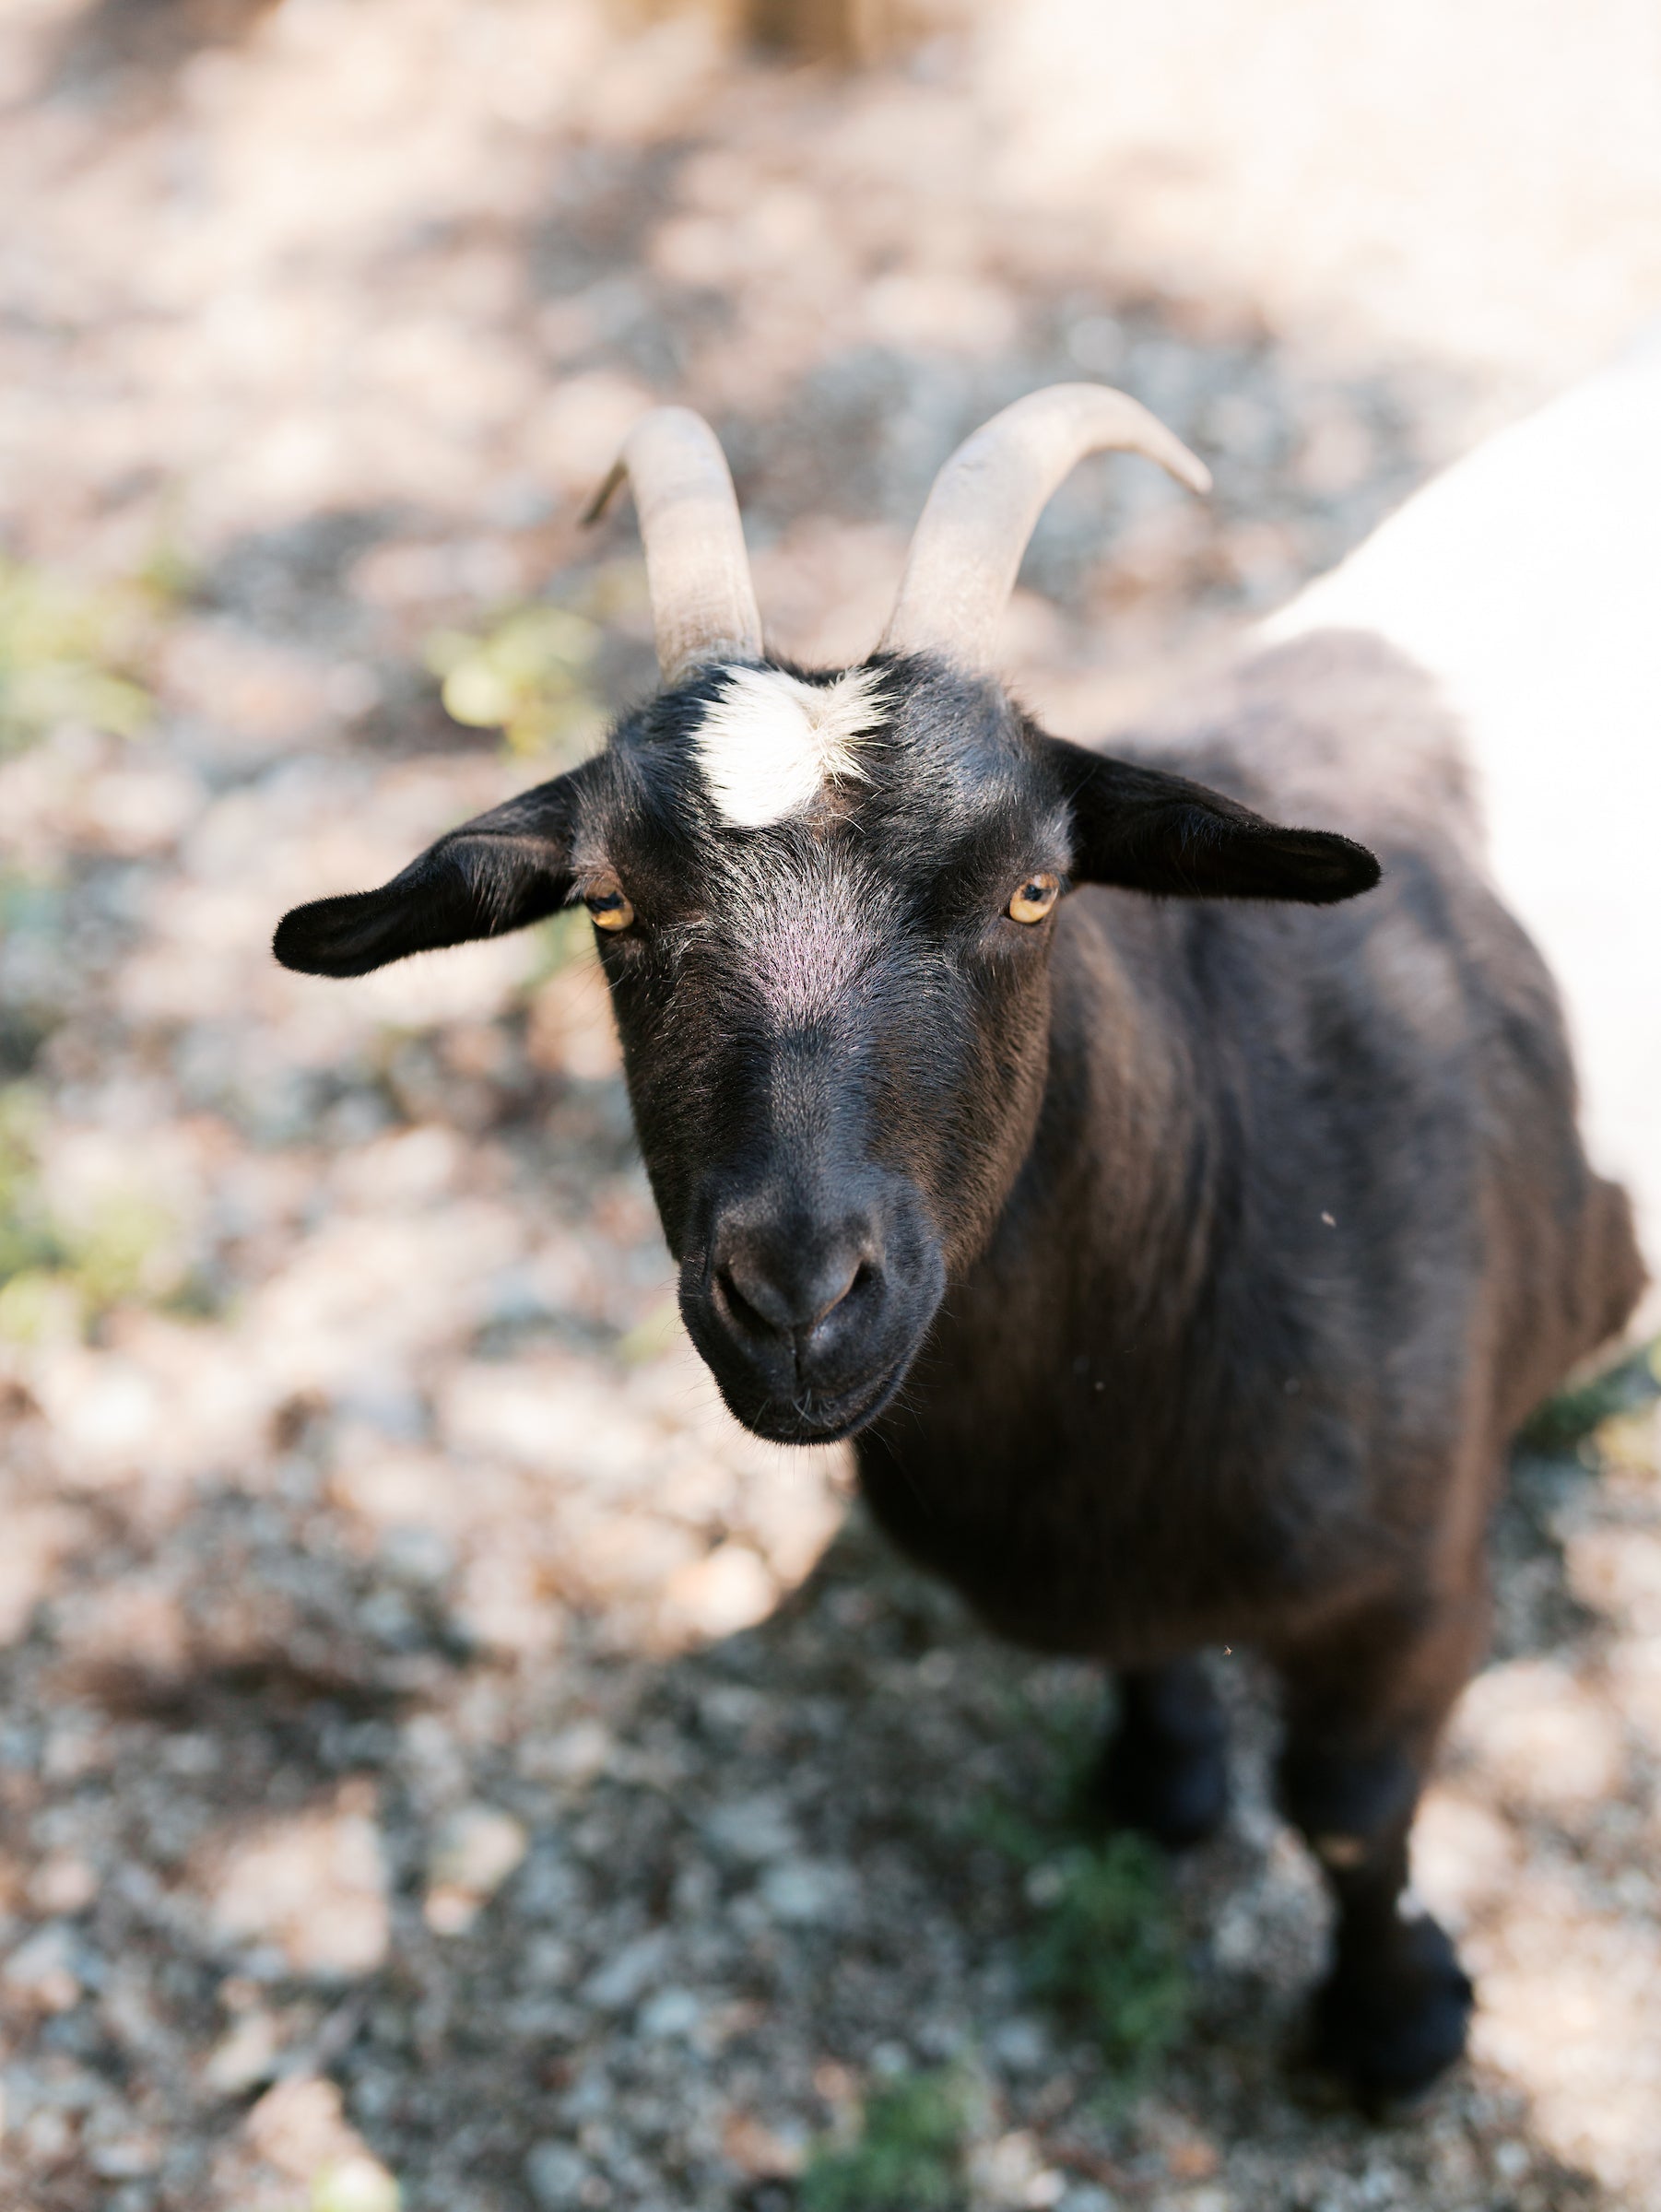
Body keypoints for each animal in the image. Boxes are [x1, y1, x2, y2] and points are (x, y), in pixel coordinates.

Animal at [275, 386, 1646, 2101]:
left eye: (1034, 887)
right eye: (604, 906)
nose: (796, 1297)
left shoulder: (1413, 1581)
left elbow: (1347, 1814)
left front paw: (1393, 2026)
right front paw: (1159, 1784)